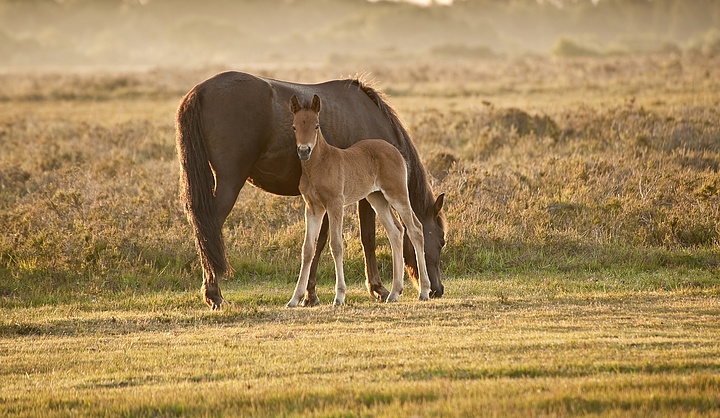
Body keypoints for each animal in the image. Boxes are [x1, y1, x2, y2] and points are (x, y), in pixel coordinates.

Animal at [175, 71, 444, 310]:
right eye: (441, 241)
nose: (438, 290)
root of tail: (199, 92)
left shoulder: (333, 201)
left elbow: (319, 243)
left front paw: (309, 294)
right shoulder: (360, 197)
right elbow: (366, 238)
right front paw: (376, 288)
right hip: (230, 181)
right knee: (209, 229)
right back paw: (214, 295)